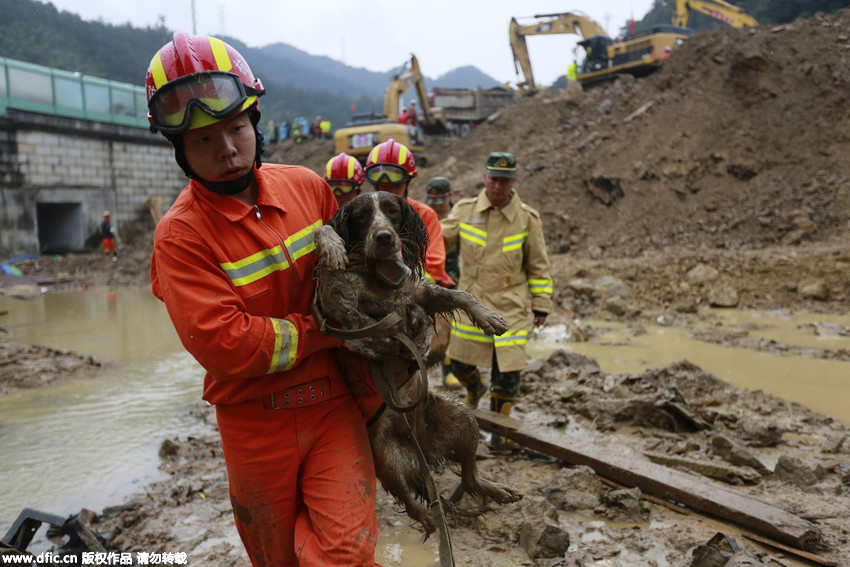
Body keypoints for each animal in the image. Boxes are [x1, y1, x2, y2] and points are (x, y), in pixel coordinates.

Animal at [314, 191, 524, 536]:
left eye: (392, 210)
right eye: (361, 216)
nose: (384, 237)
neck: (380, 275)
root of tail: (422, 450)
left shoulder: (420, 291)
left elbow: (460, 295)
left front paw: (488, 317)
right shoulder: (342, 311)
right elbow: (373, 326)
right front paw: (331, 246)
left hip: (462, 416)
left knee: (470, 476)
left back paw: (497, 489)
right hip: (387, 459)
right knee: (413, 503)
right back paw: (432, 518)